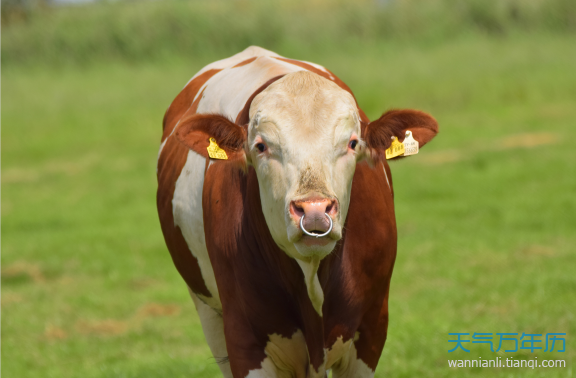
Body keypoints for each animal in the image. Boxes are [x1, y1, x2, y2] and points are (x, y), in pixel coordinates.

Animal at [155, 45, 438, 376]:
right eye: (261, 146)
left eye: (353, 143)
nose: (314, 209)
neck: (312, 276)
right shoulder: (243, 340)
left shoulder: (371, 329)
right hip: (208, 311)